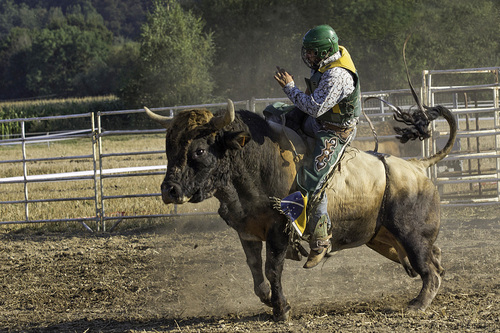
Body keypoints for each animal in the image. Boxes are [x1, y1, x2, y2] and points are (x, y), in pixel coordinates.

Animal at [144, 95, 458, 320]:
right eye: (169, 147)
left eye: (198, 150)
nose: (169, 190)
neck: (257, 162)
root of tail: (417, 165)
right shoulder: (247, 231)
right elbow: (255, 270)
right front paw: (267, 298)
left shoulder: (280, 229)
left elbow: (272, 268)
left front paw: (281, 308)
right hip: (384, 238)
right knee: (435, 258)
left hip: (411, 235)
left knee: (429, 268)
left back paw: (418, 303)